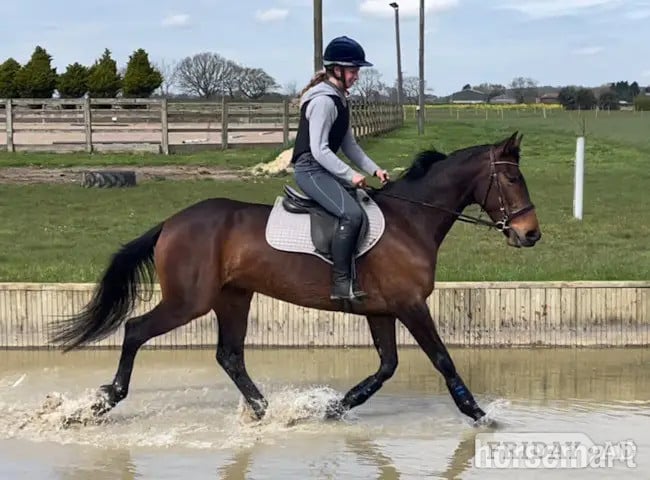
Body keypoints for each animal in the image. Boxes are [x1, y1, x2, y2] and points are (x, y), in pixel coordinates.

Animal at [48, 130, 541, 425]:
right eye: (512, 179)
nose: (530, 234)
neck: (411, 221)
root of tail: (171, 223)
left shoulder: (382, 310)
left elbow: (386, 367)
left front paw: (333, 407)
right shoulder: (410, 306)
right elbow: (442, 360)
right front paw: (478, 414)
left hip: (233, 297)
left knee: (230, 355)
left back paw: (267, 411)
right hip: (189, 301)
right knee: (135, 330)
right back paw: (103, 402)